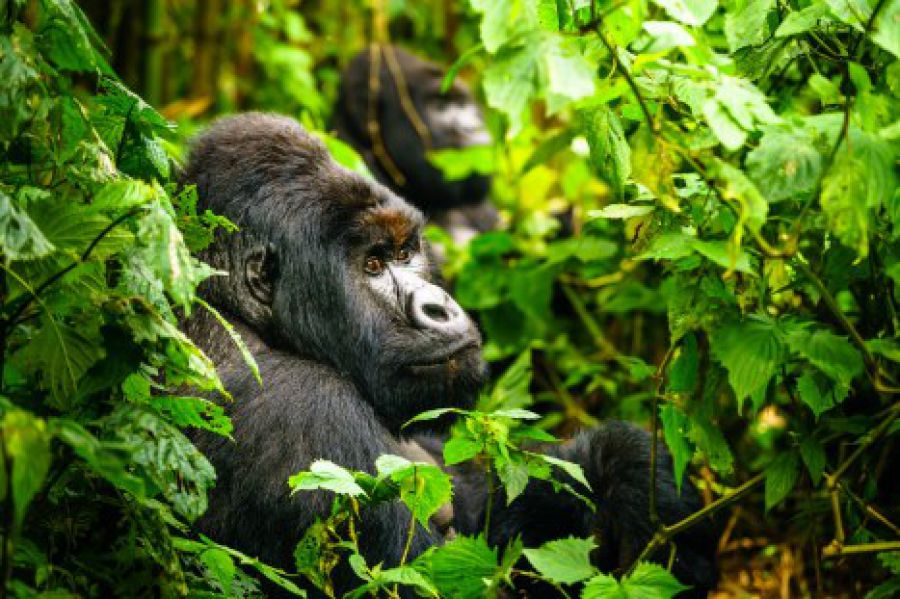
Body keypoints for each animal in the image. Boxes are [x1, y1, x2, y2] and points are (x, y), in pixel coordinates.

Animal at [181, 112, 716, 596]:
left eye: (404, 253)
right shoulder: (306, 417)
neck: (246, 321)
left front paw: (637, 477)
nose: (440, 306)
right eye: (371, 264)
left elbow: (498, 506)